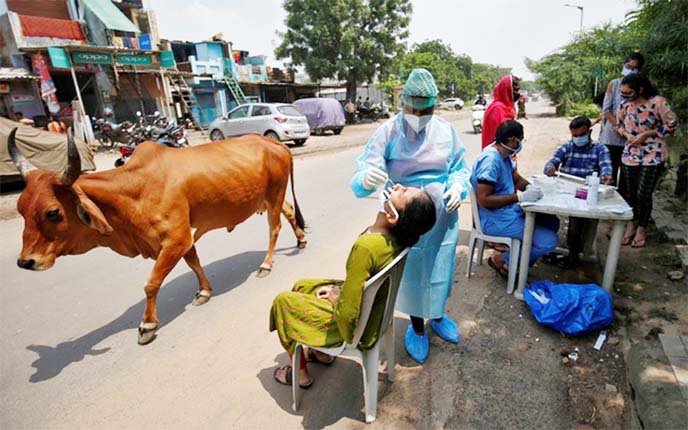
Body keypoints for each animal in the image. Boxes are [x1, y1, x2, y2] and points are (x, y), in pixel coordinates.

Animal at [8, 127, 306, 342]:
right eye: (21, 207)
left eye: (53, 212)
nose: (26, 262)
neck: (133, 190)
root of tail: (276, 144)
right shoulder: (183, 237)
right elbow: (194, 263)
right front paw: (204, 291)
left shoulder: (176, 238)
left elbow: (151, 284)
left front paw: (147, 325)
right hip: (270, 197)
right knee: (290, 213)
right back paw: (301, 240)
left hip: (274, 194)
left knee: (275, 227)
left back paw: (266, 264)